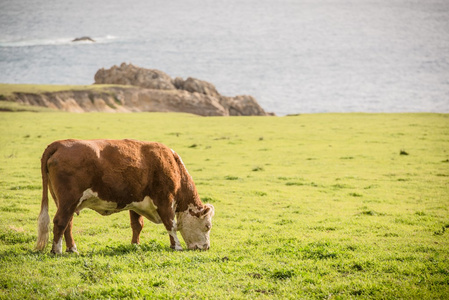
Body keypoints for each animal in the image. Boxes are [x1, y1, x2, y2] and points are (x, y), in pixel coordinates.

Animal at [35, 139, 214, 253]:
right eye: (207, 226)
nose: (206, 247)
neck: (173, 165)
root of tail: (60, 144)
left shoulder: (136, 202)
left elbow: (137, 225)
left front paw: (135, 245)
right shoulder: (165, 200)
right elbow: (171, 224)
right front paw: (176, 246)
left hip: (65, 203)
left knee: (68, 224)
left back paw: (72, 249)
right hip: (69, 200)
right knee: (60, 222)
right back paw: (57, 250)